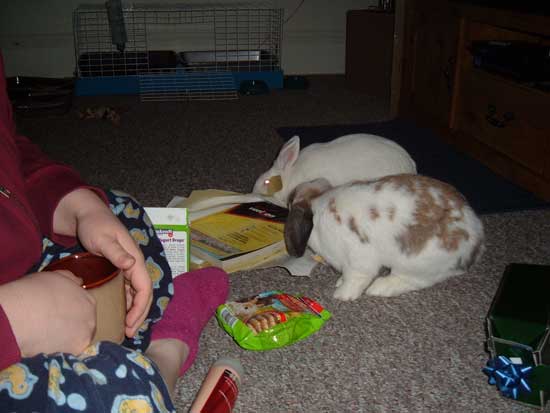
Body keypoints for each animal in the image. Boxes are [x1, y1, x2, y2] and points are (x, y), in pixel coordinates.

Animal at [286, 173, 486, 300]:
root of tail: (476, 246)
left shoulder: (358, 259)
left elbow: (356, 278)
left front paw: (342, 295)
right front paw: (339, 282)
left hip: (414, 263)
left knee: (413, 281)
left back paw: (379, 288)